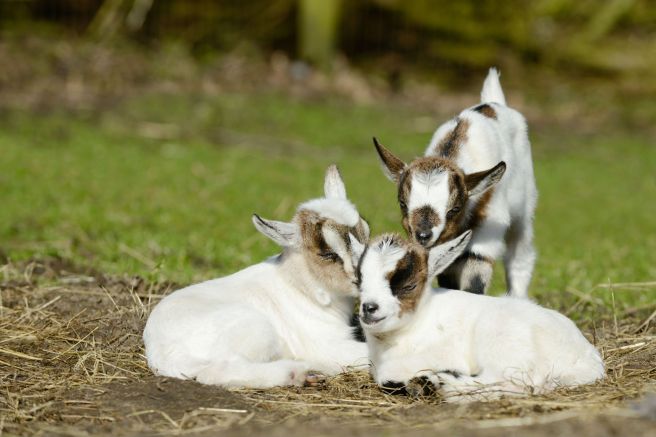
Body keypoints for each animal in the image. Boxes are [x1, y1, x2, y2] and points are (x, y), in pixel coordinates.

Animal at [143, 165, 370, 388]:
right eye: (327, 254)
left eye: (366, 233)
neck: (300, 287)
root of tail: (163, 353)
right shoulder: (325, 346)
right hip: (256, 330)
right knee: (215, 372)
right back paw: (298, 374)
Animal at [350, 232, 604, 401]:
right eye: (359, 281)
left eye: (410, 286)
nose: (369, 308)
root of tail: (587, 361)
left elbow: (390, 376)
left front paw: (427, 381)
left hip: (502, 341)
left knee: (518, 382)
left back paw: (441, 384)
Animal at [373, 68, 537, 297]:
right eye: (403, 204)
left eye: (455, 209)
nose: (423, 235)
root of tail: (493, 103)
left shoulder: (491, 218)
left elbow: (476, 266)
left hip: (524, 206)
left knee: (520, 252)